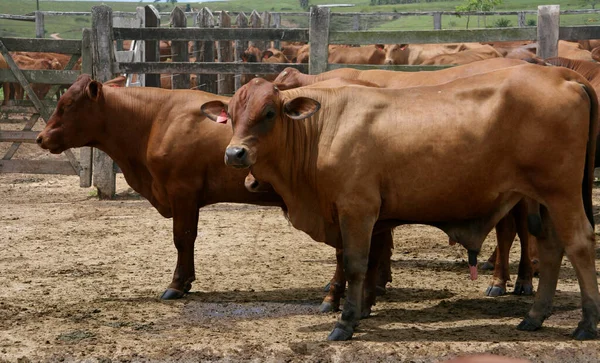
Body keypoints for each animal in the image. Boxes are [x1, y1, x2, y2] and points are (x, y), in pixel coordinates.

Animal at [34, 73, 394, 310]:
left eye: (67, 104)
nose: (41, 137)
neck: (156, 119)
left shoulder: (182, 190)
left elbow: (183, 237)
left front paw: (177, 284)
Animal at [207, 64, 600, 342]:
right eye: (231, 113)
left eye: (269, 112)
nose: (234, 154)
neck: (323, 128)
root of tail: (561, 74)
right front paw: (360, 309)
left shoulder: (357, 210)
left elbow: (355, 264)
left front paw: (345, 322)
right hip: (542, 199)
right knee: (550, 247)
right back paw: (534, 316)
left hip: (562, 193)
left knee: (579, 244)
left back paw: (586, 321)